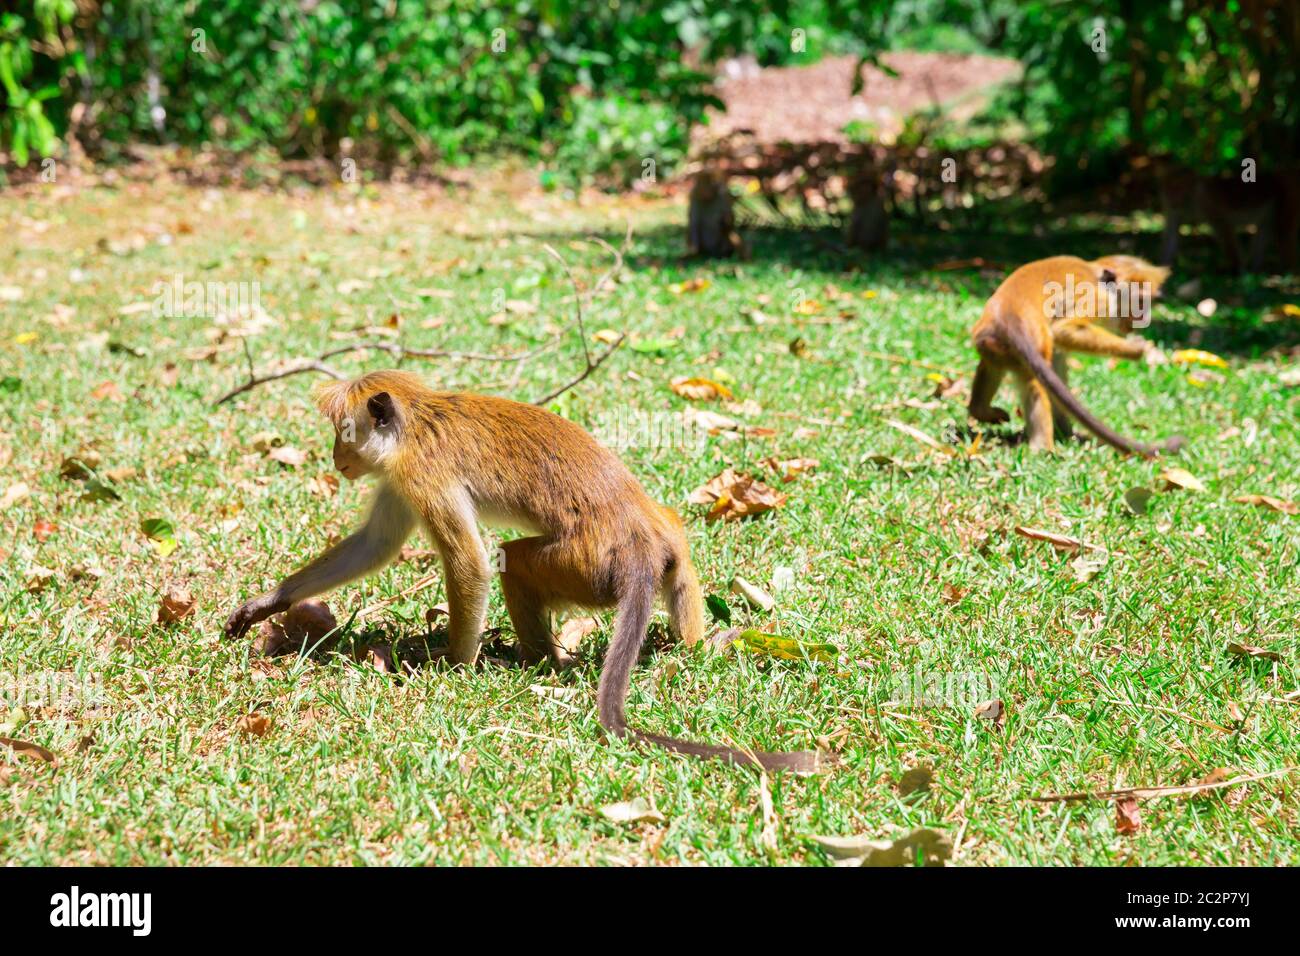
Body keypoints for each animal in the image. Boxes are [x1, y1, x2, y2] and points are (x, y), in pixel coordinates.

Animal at [225, 370, 820, 772]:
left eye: (343, 432)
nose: (334, 459)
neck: (416, 418)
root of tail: (636, 549)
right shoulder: (401, 476)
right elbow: (374, 546)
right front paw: (269, 603)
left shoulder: (419, 472)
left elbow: (468, 561)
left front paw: (453, 666)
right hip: (660, 545)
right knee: (676, 533)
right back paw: (694, 645)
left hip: (581, 566)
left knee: (514, 566)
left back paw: (539, 662)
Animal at [967, 254, 1185, 457]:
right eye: (1139, 301)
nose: (1142, 317)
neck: (1096, 274)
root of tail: (1009, 318)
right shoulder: (1099, 299)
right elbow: (1064, 331)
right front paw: (1136, 349)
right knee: (1035, 383)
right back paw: (1044, 449)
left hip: (991, 343)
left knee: (994, 365)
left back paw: (982, 411)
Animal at [1157, 161, 1299, 273]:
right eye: (1169, 189)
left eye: (1178, 188)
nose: (1172, 197)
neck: (1190, 198)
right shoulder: (1168, 205)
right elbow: (1171, 235)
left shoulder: (1206, 201)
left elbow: (1225, 228)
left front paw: (1237, 270)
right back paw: (1256, 270)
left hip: (1289, 193)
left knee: (1284, 233)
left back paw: (1290, 272)